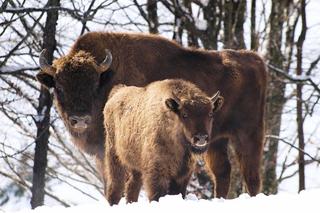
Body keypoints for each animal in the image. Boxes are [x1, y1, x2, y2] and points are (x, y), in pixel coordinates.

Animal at [37, 31, 268, 198]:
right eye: (59, 87)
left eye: (94, 84)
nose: (80, 119)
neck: (108, 77)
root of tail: (255, 59)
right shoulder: (104, 155)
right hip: (214, 141)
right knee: (222, 172)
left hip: (248, 135)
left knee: (251, 174)